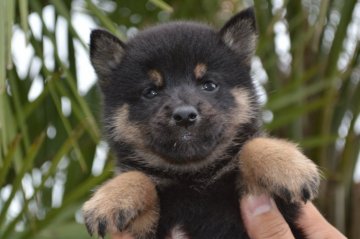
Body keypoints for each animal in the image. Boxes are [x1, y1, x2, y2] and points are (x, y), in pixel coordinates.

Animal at [83, 7, 320, 239]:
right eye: (150, 92)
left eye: (209, 85)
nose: (185, 115)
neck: (193, 177)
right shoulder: (148, 226)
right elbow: (139, 176)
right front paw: (113, 197)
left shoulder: (271, 204)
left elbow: (252, 145)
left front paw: (288, 167)